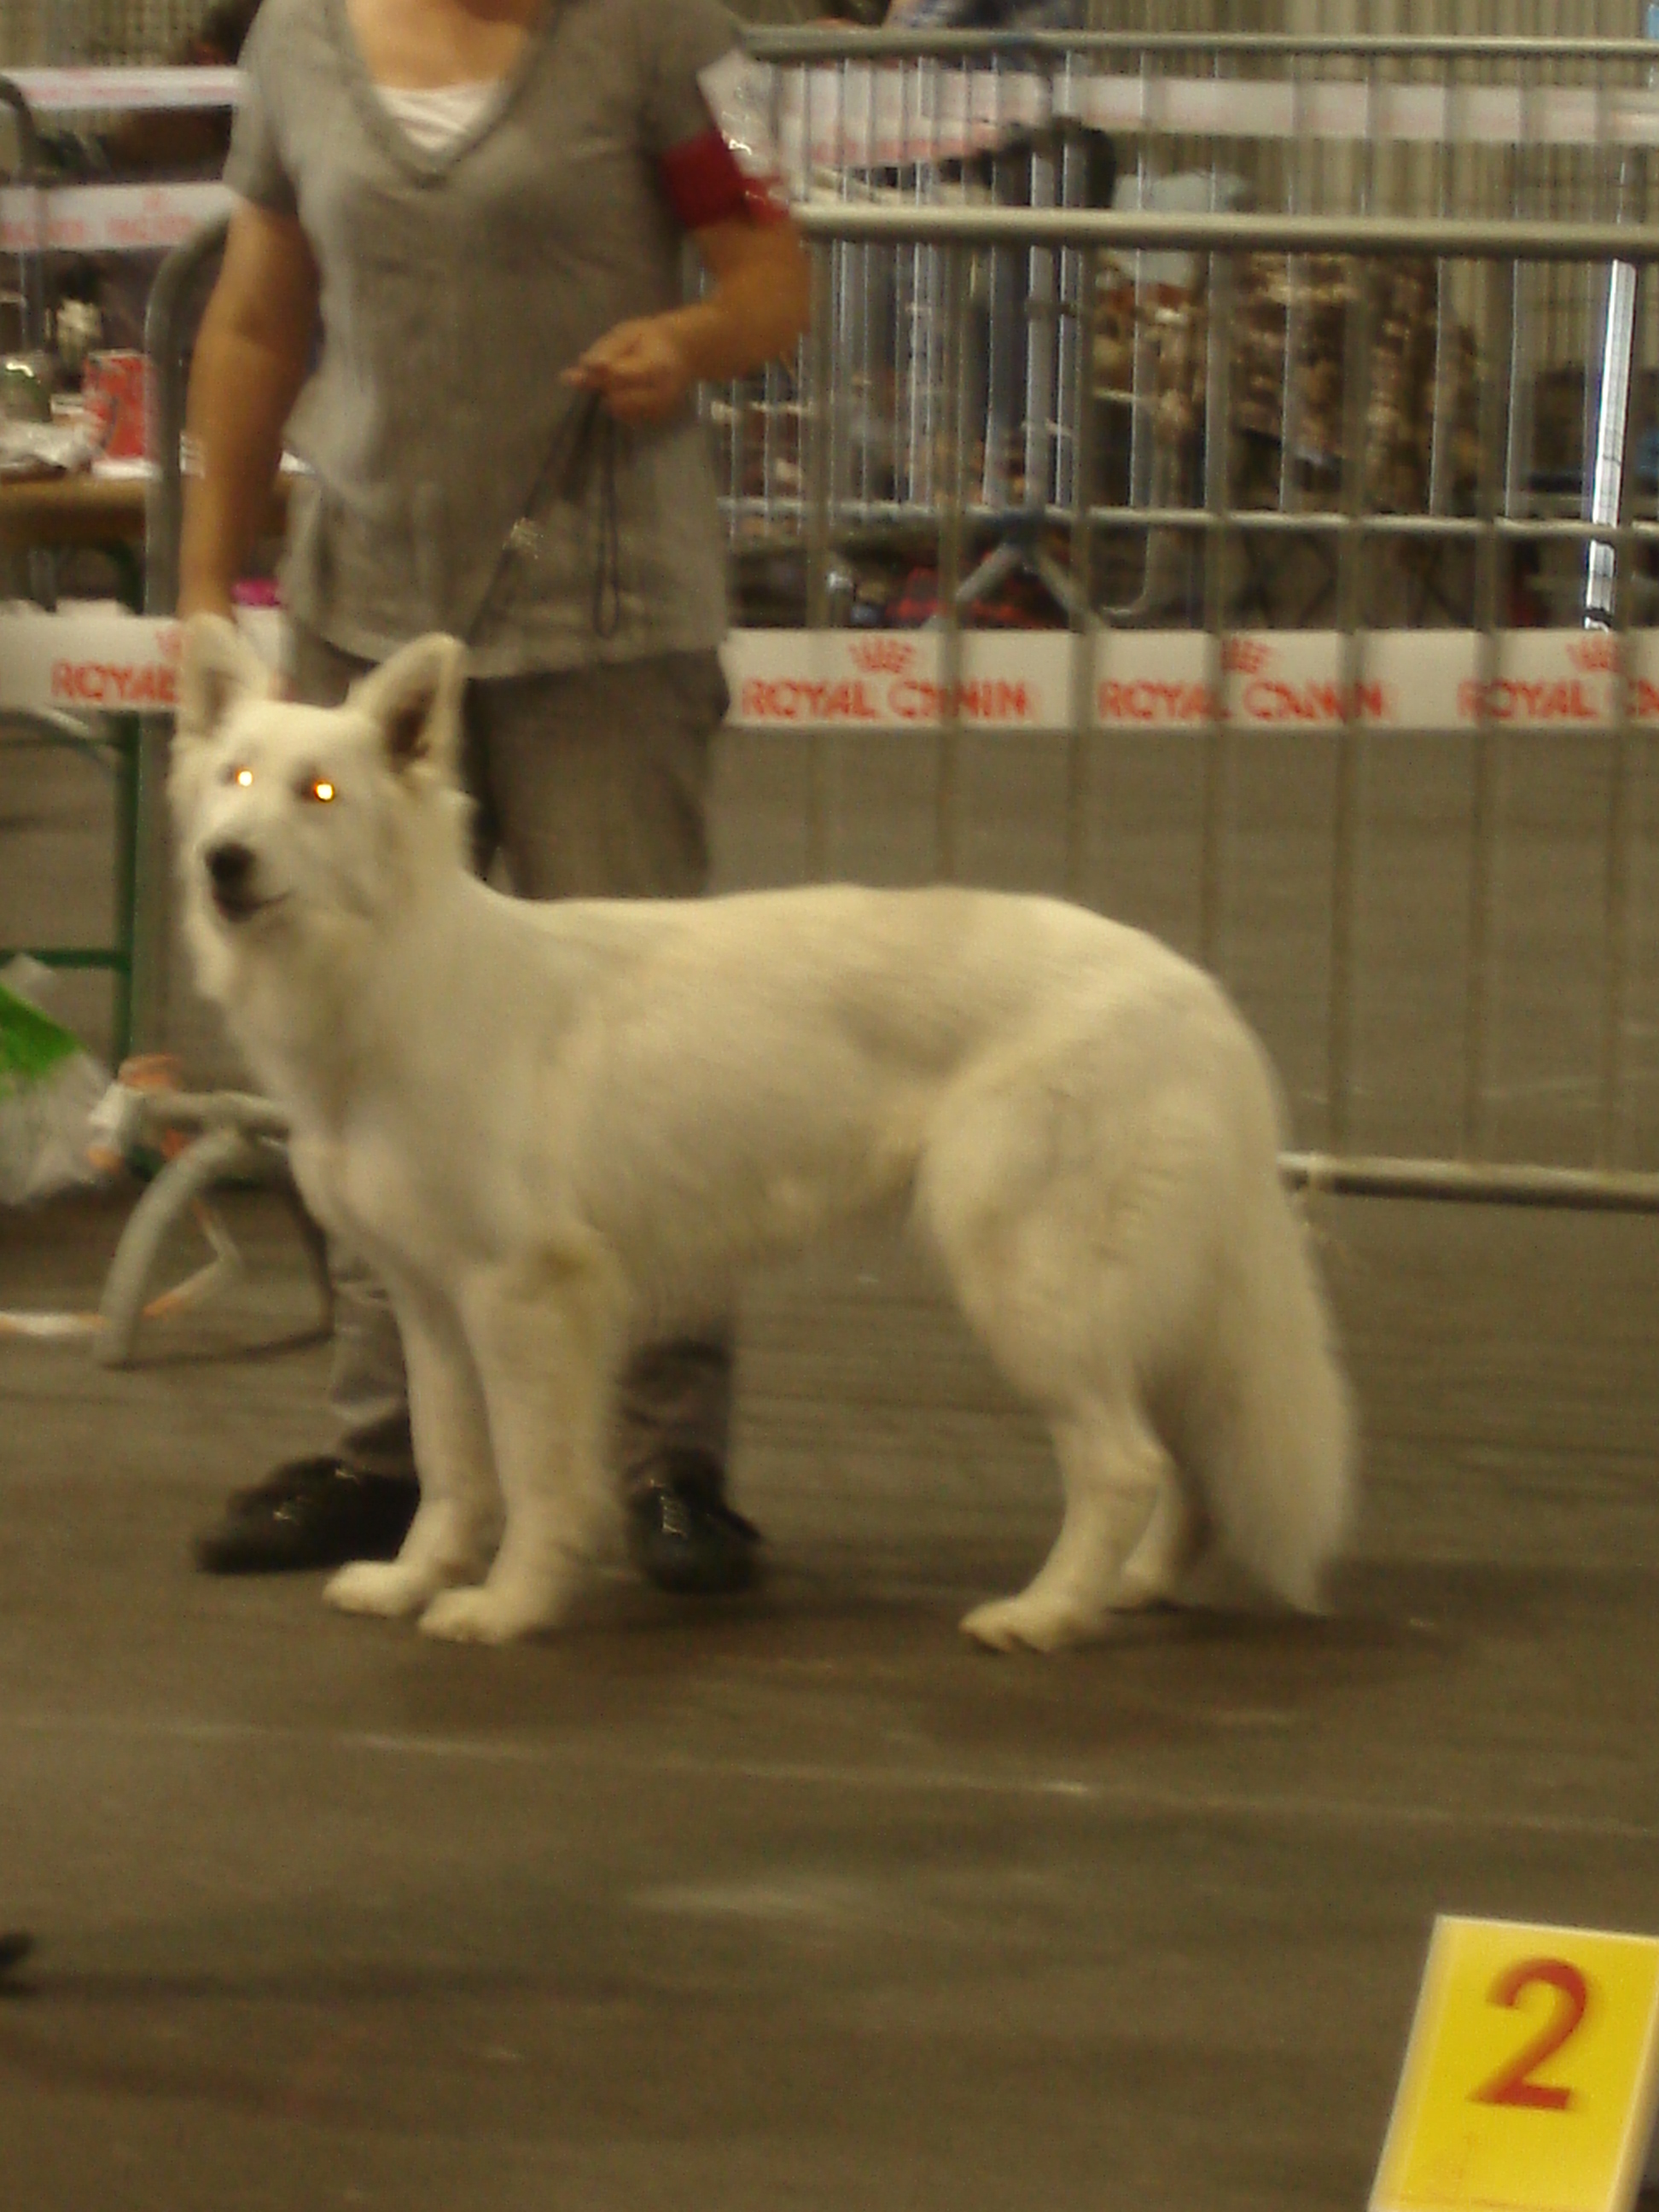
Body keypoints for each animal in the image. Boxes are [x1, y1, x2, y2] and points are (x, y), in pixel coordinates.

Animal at [176, 614, 1353, 1654]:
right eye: (235, 779)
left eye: (319, 794)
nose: (222, 862)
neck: (391, 974)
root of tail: (1196, 994)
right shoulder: (431, 1301)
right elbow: (452, 1468)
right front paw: (412, 1581)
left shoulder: (526, 1295)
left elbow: (535, 1475)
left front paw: (508, 1607)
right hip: (1143, 1299)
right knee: (1190, 1456)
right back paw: (1139, 1586)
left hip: (1027, 1281)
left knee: (1124, 1463)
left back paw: (1047, 1615)